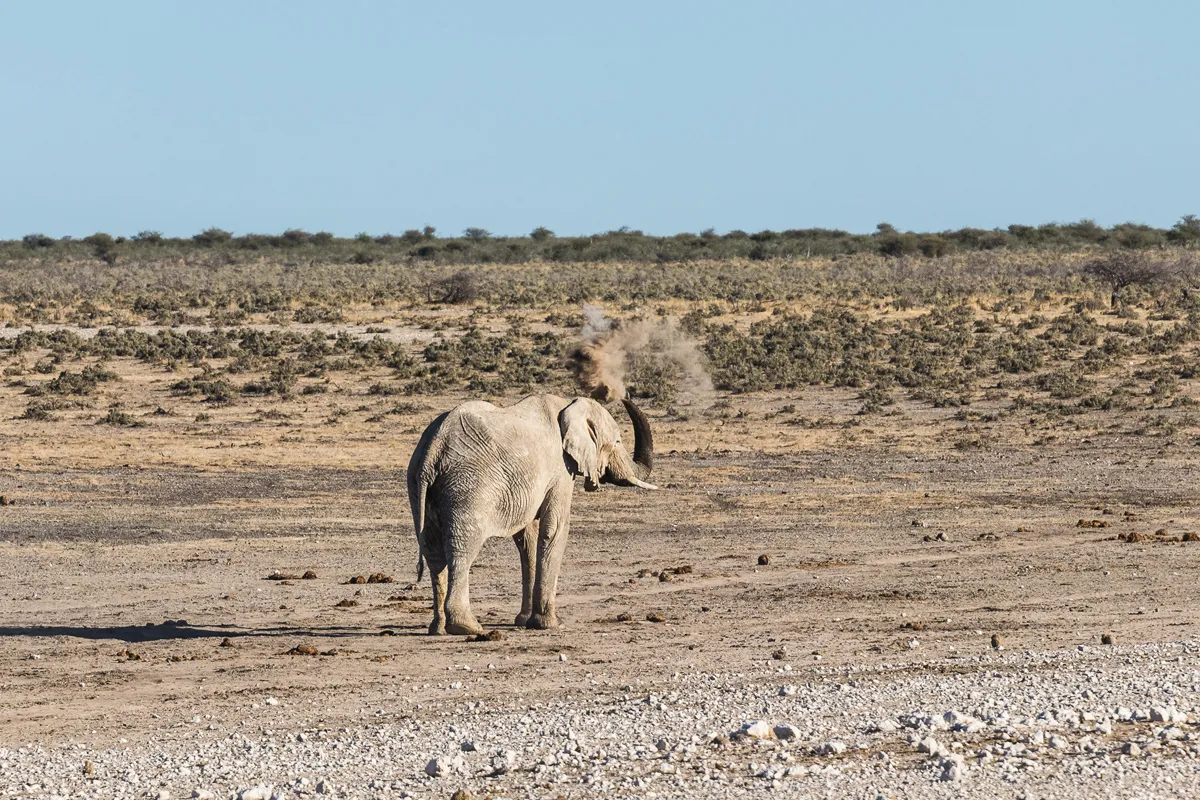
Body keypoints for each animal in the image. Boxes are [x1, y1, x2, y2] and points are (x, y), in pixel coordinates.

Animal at [407, 394, 656, 635]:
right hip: (467, 487)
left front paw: (525, 620)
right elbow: (555, 529)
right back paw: (467, 627)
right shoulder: (561, 470)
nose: (624, 398)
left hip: (417, 485)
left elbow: (527, 539)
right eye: (618, 442)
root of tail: (433, 449)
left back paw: (438, 629)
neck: (569, 405)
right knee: (462, 548)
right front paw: (551, 624)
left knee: (433, 552)